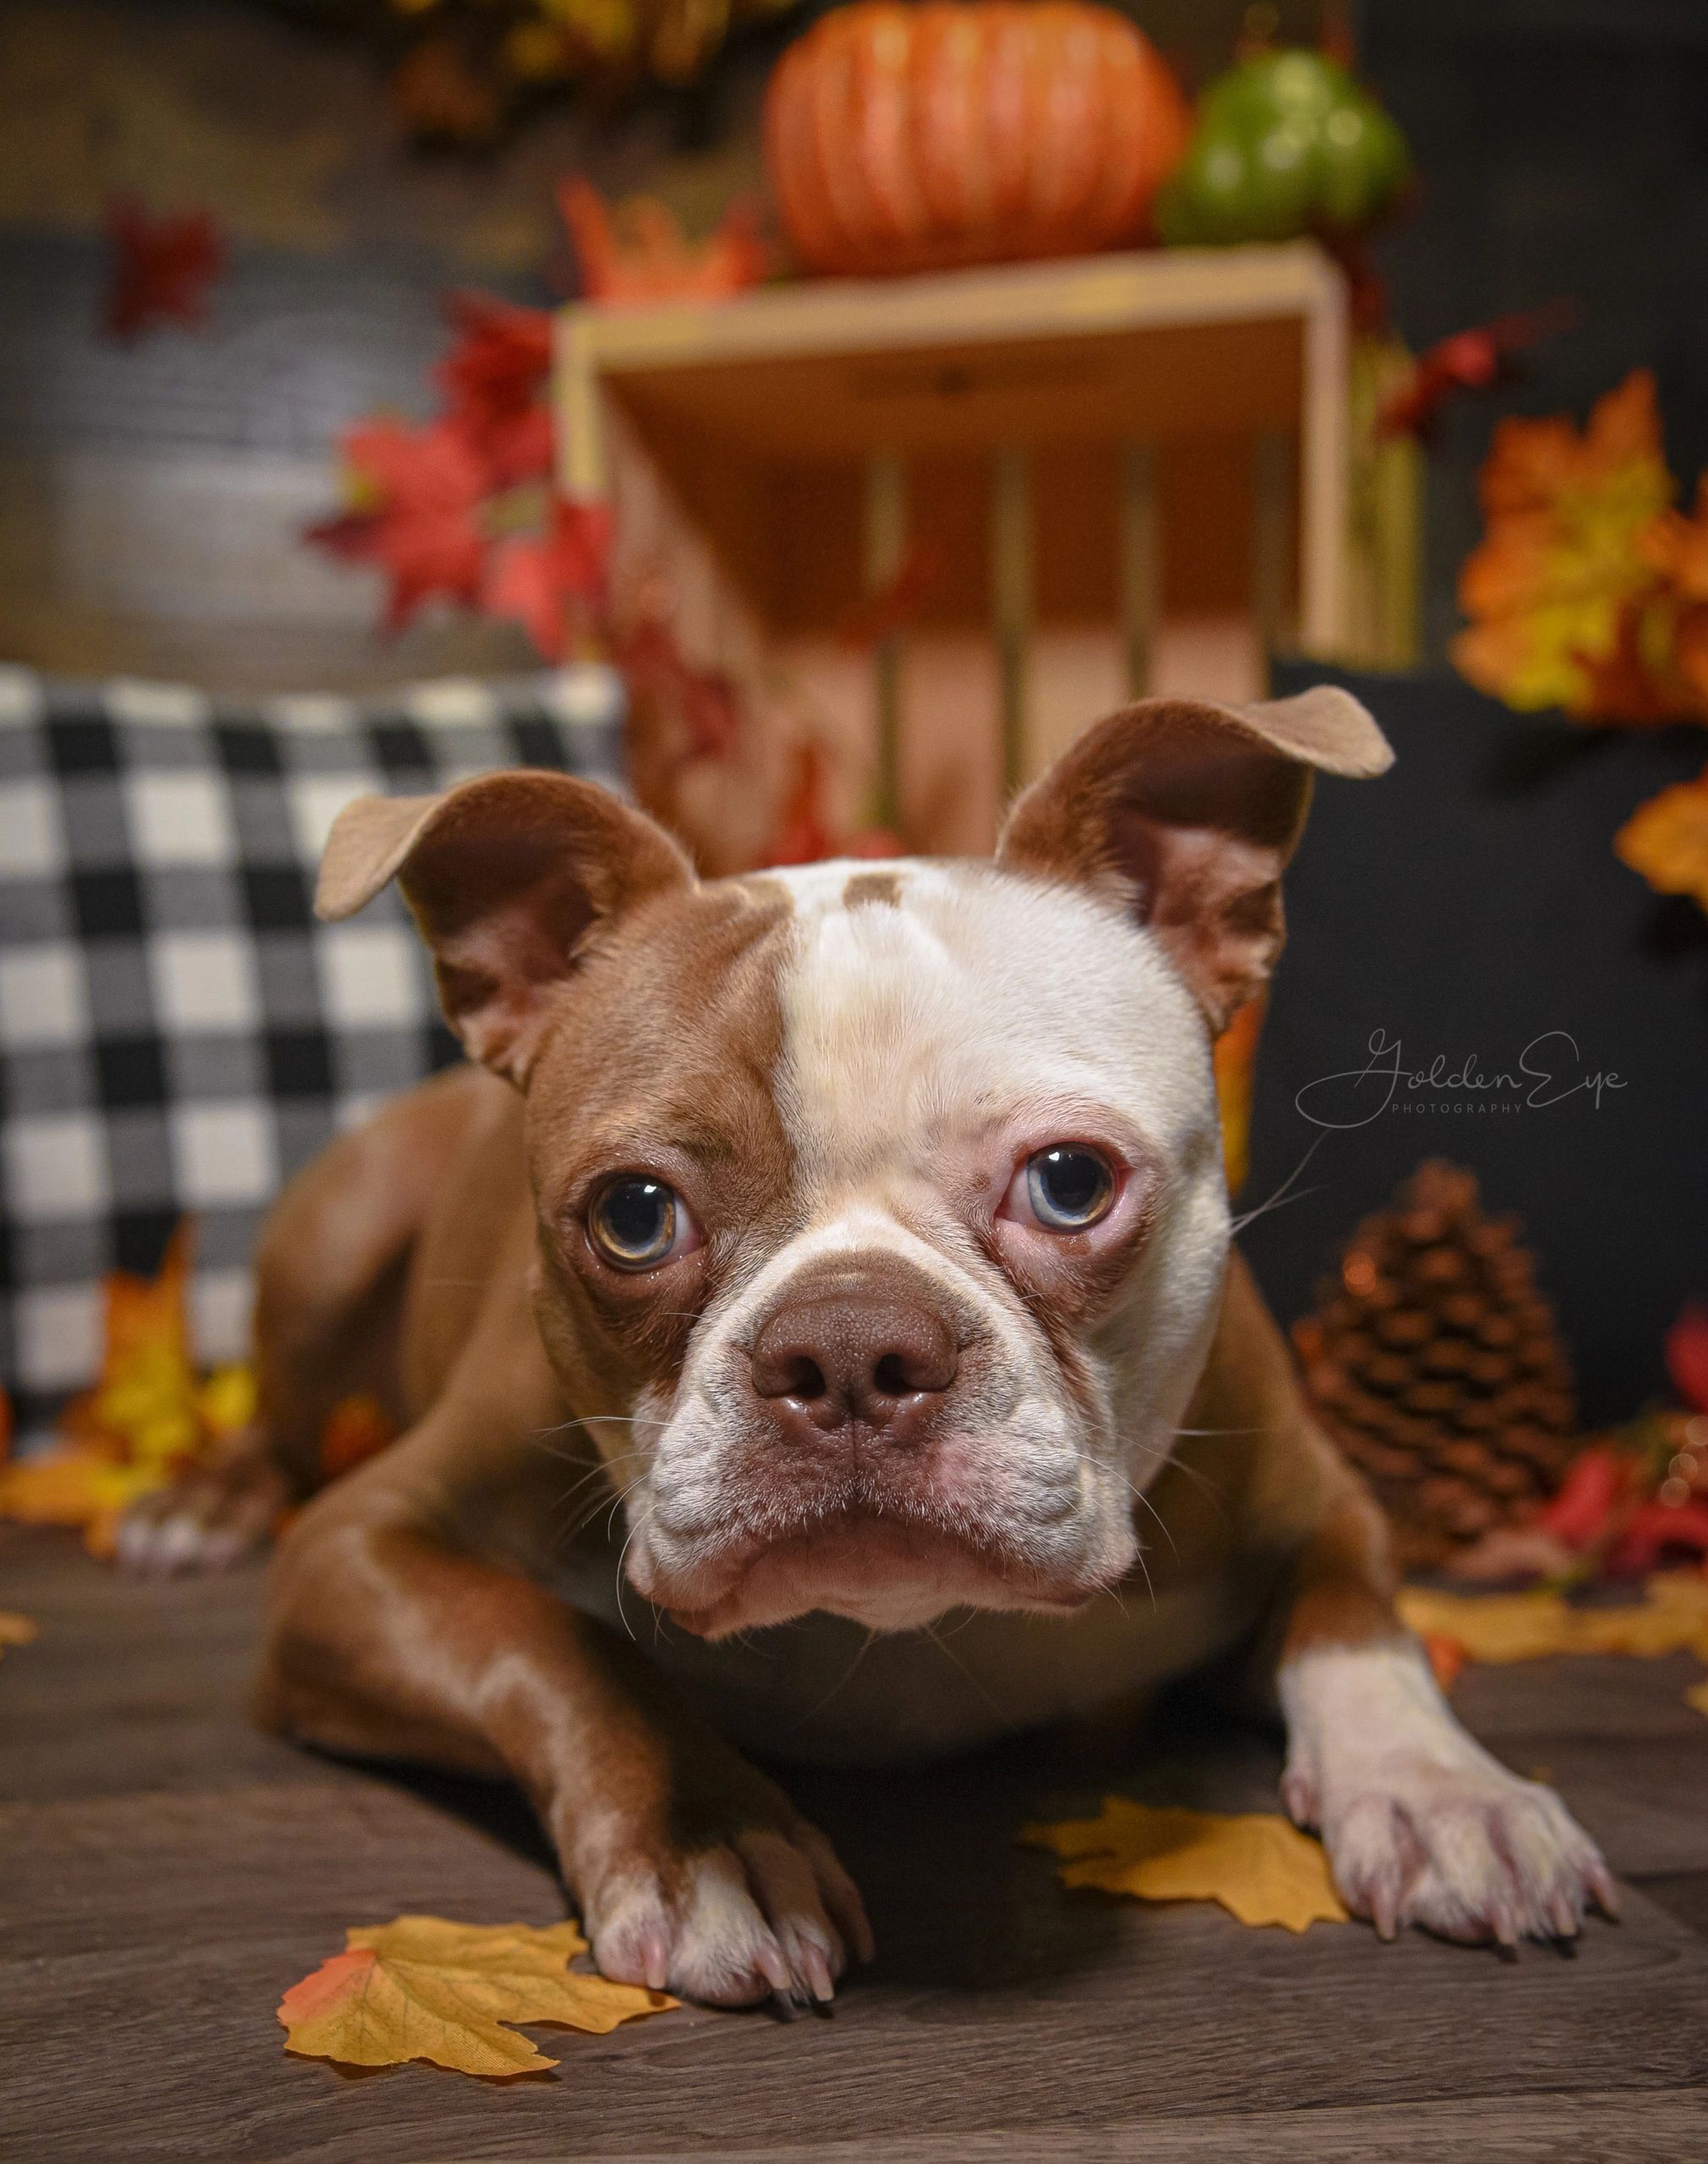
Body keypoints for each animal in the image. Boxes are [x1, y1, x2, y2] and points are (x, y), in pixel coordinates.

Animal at [120, 688, 1610, 1991]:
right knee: (281, 1418)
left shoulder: (1320, 1501)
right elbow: (555, 1645)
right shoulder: (356, 1552)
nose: (846, 1350)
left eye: (1071, 1183)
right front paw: (705, 1839)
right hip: (331, 1243)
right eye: (633, 1215)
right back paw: (198, 1502)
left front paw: (1439, 1789)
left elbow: (1359, 1622)